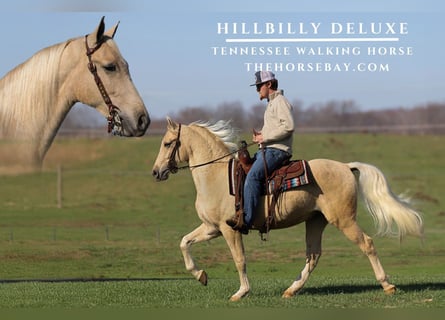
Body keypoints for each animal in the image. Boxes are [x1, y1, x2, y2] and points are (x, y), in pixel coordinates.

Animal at [153, 117, 424, 300]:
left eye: (167, 143)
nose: (156, 172)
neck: (216, 176)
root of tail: (346, 167)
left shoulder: (229, 230)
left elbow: (239, 259)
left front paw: (241, 292)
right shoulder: (212, 227)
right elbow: (184, 242)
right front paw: (201, 276)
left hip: (344, 220)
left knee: (366, 244)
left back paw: (387, 285)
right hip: (315, 221)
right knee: (313, 255)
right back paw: (291, 289)